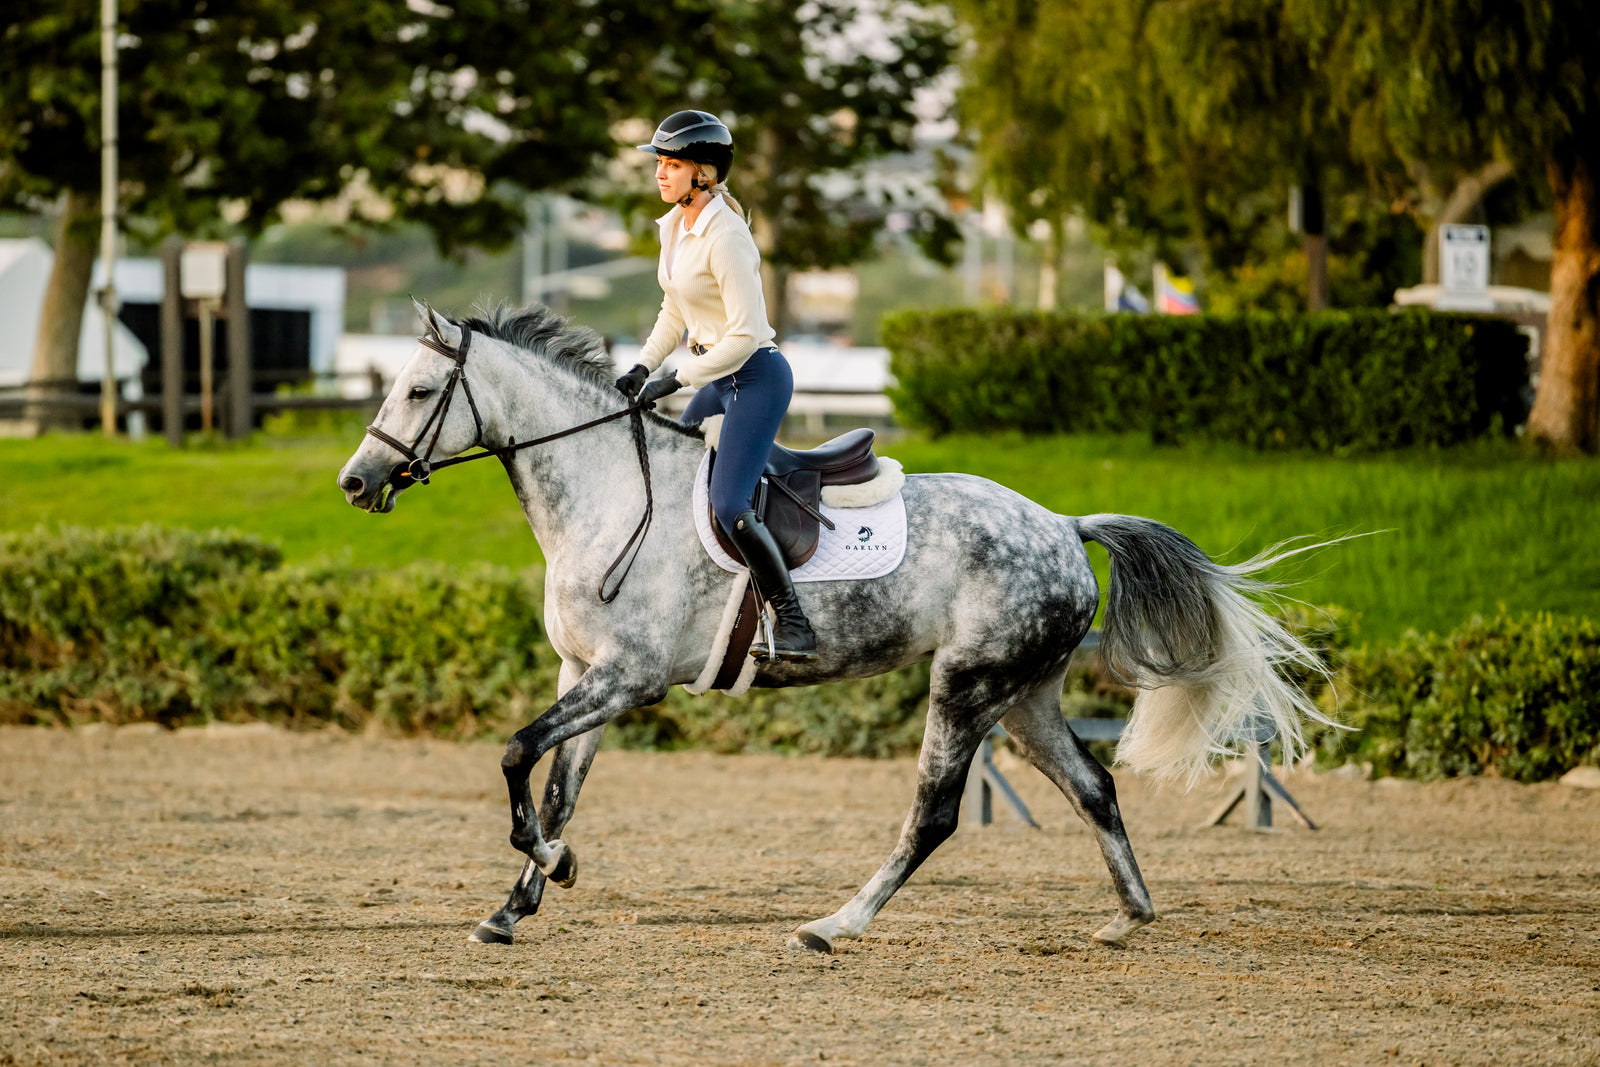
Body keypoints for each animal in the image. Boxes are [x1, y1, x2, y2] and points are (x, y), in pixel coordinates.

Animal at [336, 300, 1332, 952]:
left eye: (420, 391)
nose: (355, 483)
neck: (606, 490)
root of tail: (1061, 522)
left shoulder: (628, 676)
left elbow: (515, 754)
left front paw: (554, 868)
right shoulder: (583, 673)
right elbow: (555, 787)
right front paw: (520, 900)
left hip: (966, 686)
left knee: (934, 814)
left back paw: (833, 925)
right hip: (1024, 695)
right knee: (1093, 788)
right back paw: (1128, 916)